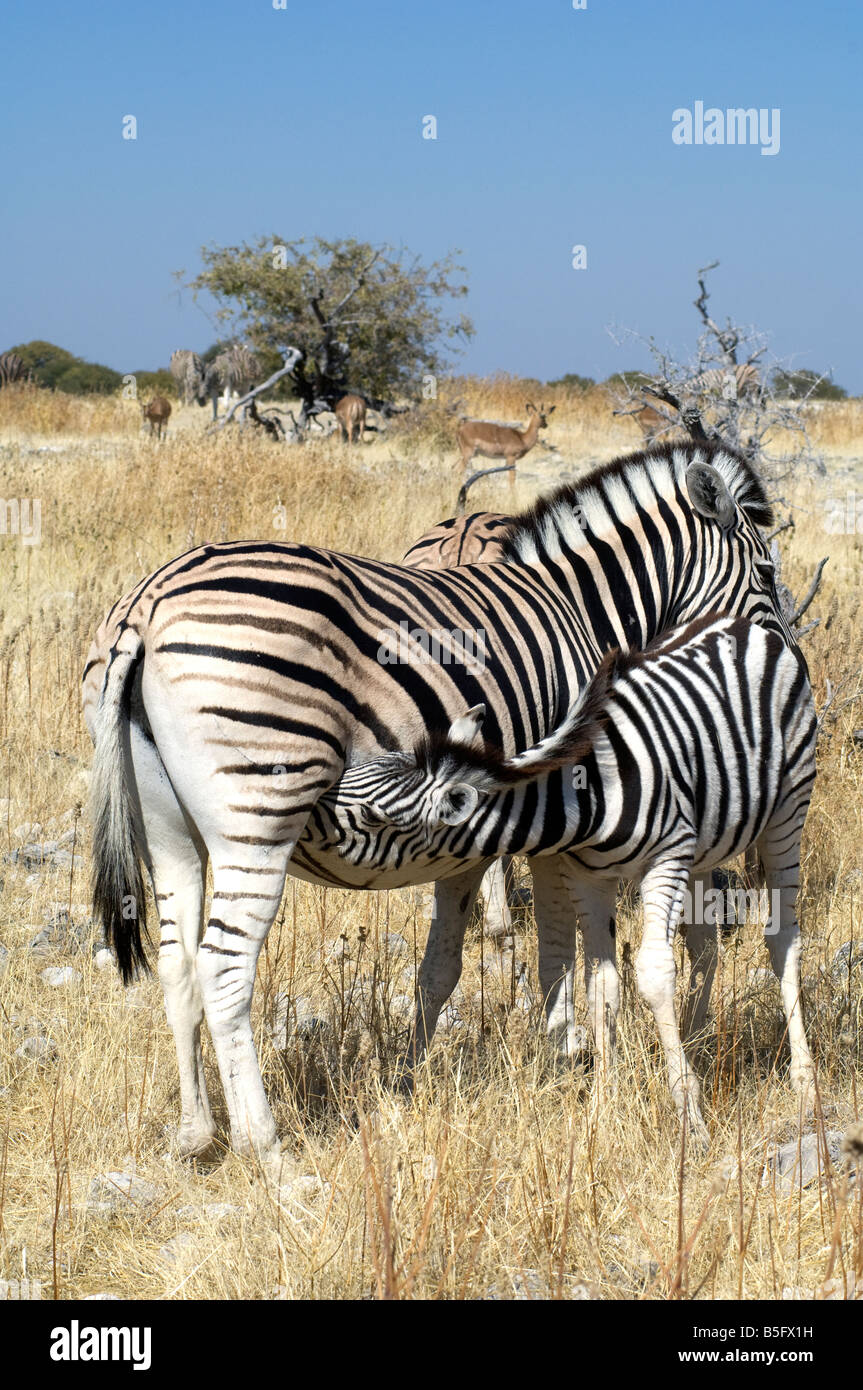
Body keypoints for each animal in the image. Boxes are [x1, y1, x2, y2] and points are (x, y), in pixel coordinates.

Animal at [318, 619, 817, 1150]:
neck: (587, 797)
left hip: (786, 814)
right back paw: (697, 1038)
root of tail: (742, 625)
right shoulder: (588, 879)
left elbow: (653, 973)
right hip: (706, 845)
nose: (302, 810)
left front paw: (690, 1116)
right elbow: (603, 986)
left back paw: (804, 1081)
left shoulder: (666, 858)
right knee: (705, 947)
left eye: (373, 817)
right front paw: (604, 1106)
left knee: (783, 941)